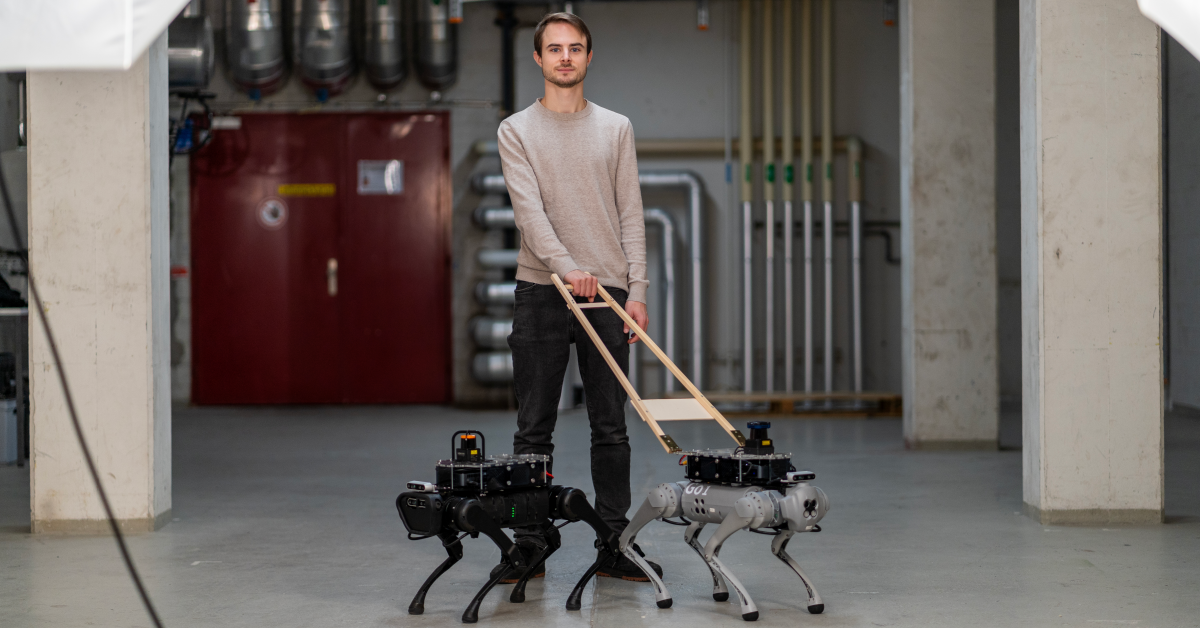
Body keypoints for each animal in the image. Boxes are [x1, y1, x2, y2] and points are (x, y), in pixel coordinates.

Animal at [396, 432, 619, 624]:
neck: (453, 499)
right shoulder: (453, 527)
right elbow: (455, 554)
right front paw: (417, 604)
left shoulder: (472, 511)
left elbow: (513, 556)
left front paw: (471, 613)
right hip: (541, 515)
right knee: (554, 538)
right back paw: (520, 590)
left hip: (565, 501)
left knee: (597, 525)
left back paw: (579, 591)